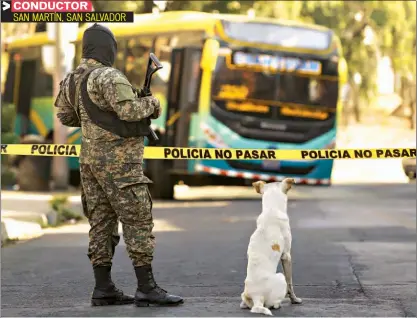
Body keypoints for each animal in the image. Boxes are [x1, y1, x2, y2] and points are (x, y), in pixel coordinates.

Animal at [240, 179, 302, 316]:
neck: (272, 209)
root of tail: (257, 297)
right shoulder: (286, 256)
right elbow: (290, 283)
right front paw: (294, 299)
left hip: (245, 294)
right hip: (280, 276)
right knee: (273, 303)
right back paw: (279, 304)